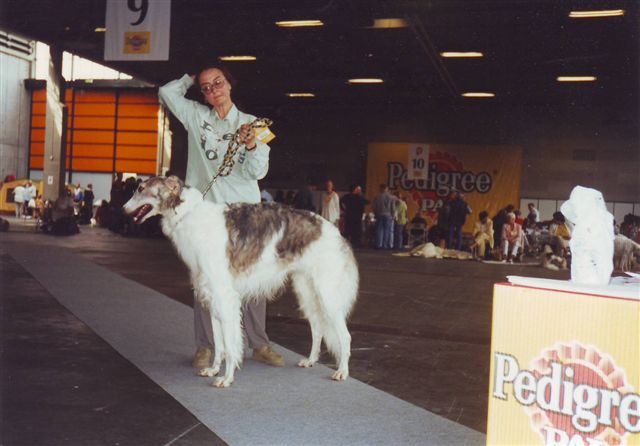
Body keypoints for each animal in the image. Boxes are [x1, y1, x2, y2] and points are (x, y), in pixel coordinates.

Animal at [123, 176, 359, 387]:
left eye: (141, 188)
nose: (123, 209)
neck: (190, 216)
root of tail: (336, 232)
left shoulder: (226, 298)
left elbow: (229, 344)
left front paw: (226, 378)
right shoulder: (212, 299)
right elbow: (219, 345)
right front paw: (213, 369)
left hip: (327, 294)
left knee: (345, 336)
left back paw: (342, 371)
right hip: (307, 291)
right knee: (318, 328)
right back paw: (310, 360)